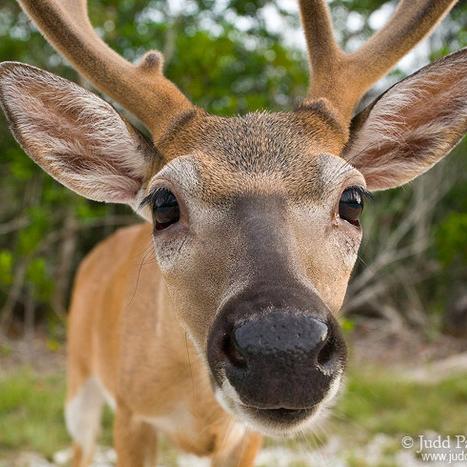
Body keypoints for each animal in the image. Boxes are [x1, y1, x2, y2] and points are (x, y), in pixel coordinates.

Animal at [0, 0, 466, 466]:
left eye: (353, 199)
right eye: (164, 204)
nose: (281, 348)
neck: (200, 411)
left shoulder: (245, 438)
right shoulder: (132, 414)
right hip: (80, 380)